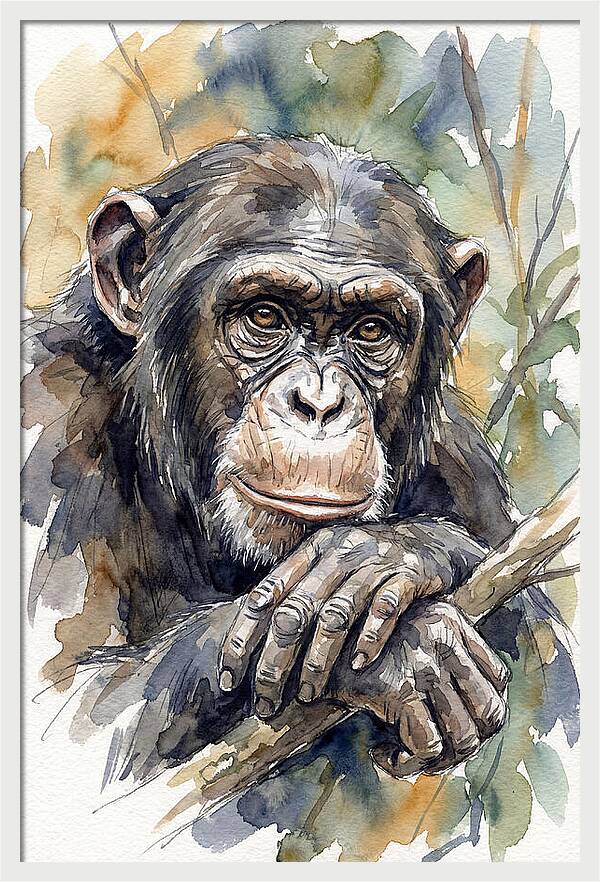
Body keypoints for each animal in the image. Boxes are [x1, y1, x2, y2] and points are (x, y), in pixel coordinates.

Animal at [22, 134, 516, 786]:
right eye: (264, 316)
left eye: (372, 330)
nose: (320, 403)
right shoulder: (44, 419)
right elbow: (69, 712)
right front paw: (410, 647)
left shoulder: (462, 462)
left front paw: (388, 554)